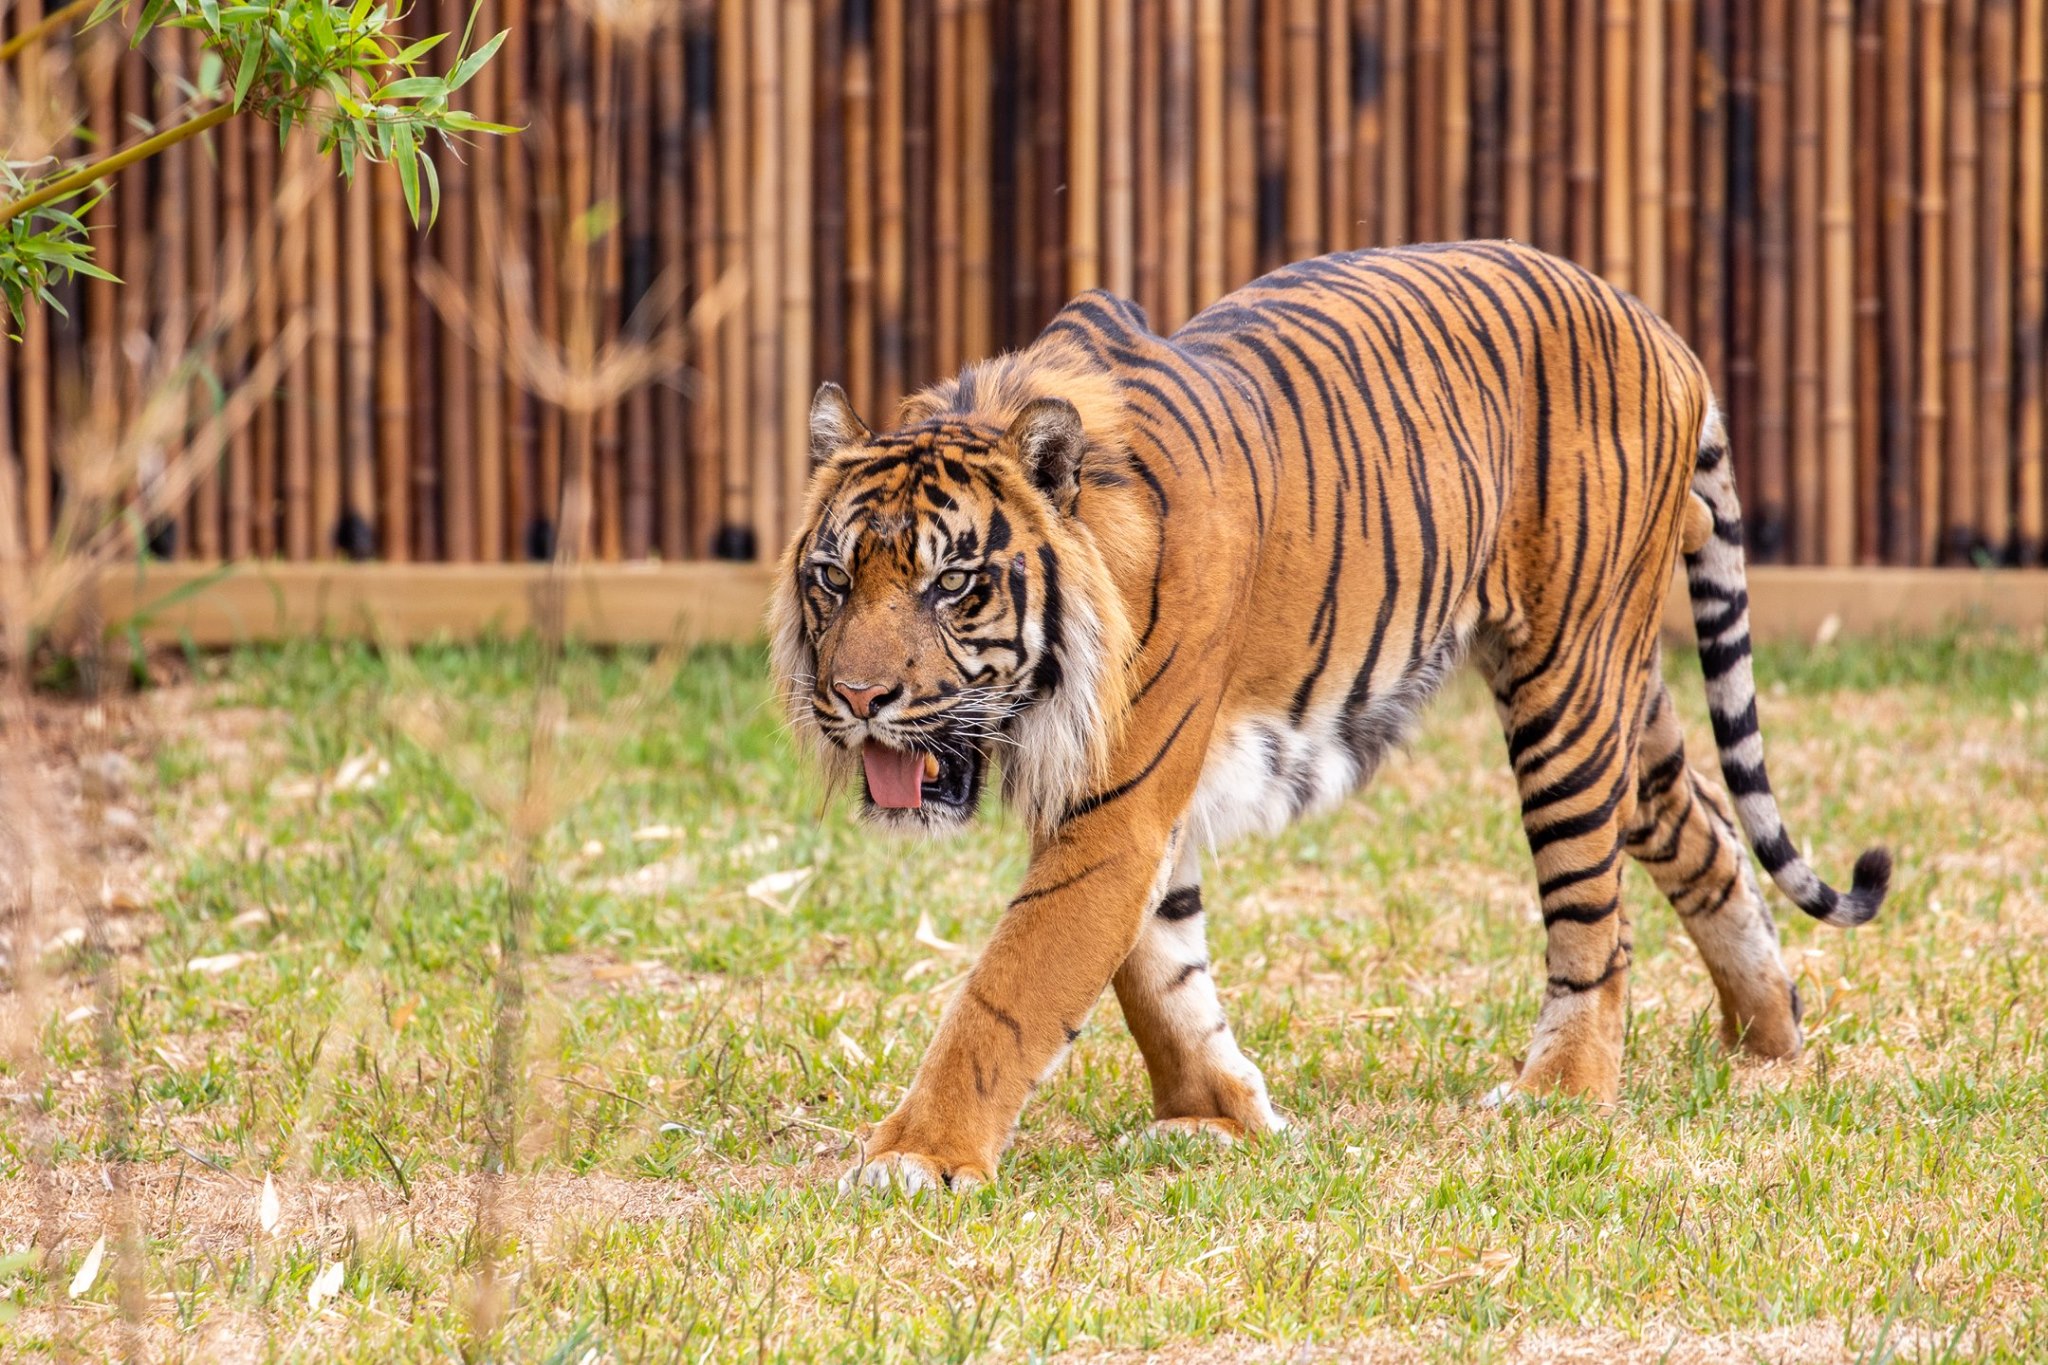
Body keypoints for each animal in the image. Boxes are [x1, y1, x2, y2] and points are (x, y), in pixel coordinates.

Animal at [770, 240, 1884, 1186]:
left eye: (951, 584)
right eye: (833, 577)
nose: (857, 700)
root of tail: (1659, 325)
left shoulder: (1117, 807)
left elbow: (1011, 989)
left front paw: (916, 1157)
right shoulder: (1144, 811)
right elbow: (1161, 976)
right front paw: (1217, 1115)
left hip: (1564, 689)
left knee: (1592, 920)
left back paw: (1559, 1094)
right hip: (1622, 695)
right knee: (1706, 835)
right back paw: (1767, 1046)